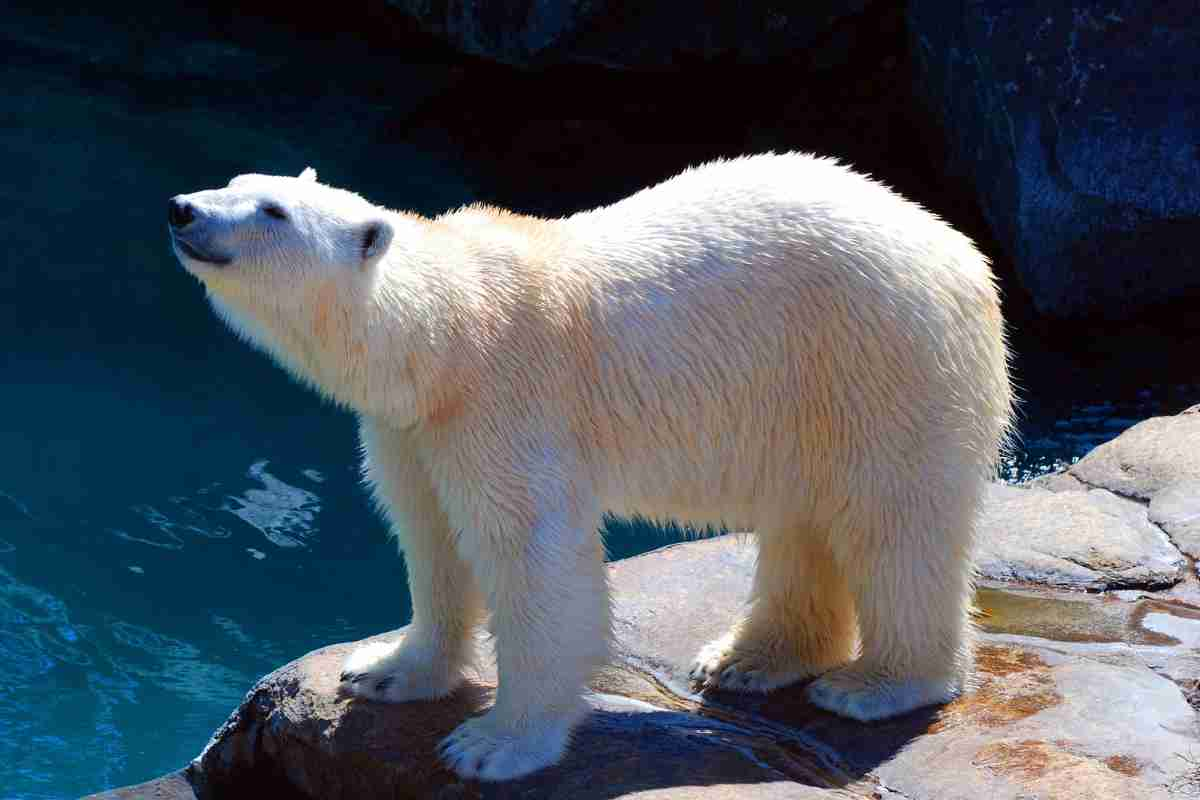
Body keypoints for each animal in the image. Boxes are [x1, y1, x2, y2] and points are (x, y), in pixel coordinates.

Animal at [169, 154, 1012, 782]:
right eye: (236, 182)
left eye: (273, 212)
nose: (182, 208)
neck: (448, 334)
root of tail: (963, 256)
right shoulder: (414, 428)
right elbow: (431, 536)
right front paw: (384, 670)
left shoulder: (506, 403)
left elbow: (533, 558)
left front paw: (493, 744)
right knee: (804, 519)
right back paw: (747, 660)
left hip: (880, 356)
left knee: (892, 520)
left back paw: (877, 685)